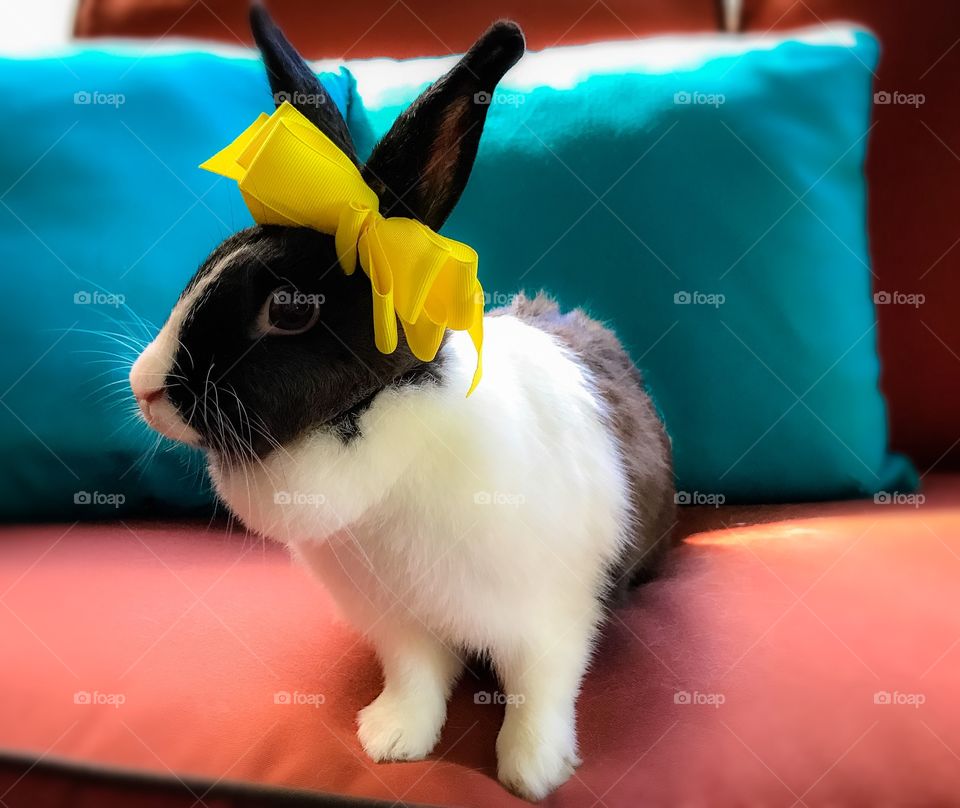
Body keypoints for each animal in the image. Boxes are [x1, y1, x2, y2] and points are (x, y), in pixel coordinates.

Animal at [129, 5, 676, 801]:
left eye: (288, 310)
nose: (143, 387)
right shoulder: (402, 626)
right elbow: (416, 680)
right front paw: (389, 740)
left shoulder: (551, 620)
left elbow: (540, 690)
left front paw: (532, 771)